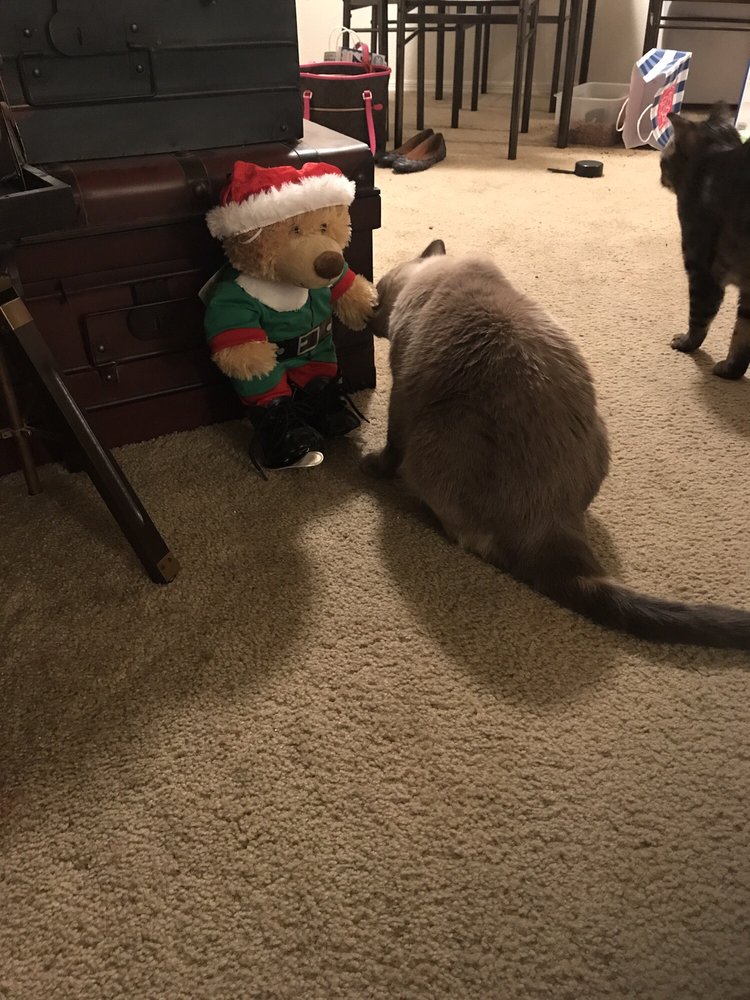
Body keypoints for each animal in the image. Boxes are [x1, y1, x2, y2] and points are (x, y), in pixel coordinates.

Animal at [363, 239, 750, 649]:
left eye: (377, 299)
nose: (368, 318)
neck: (438, 274)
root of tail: (554, 524)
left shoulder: (402, 391)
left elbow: (391, 446)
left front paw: (372, 465)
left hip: (438, 429)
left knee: (460, 531)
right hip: (598, 430)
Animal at [661, 102, 750, 379]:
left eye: (662, 161)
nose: (660, 178)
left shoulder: (702, 270)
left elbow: (699, 317)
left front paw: (686, 343)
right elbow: (743, 334)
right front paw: (732, 371)